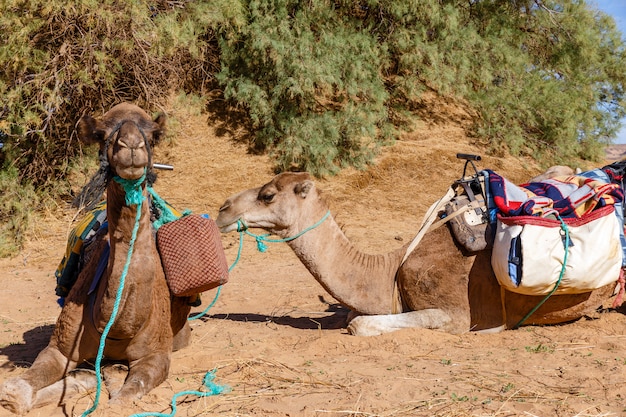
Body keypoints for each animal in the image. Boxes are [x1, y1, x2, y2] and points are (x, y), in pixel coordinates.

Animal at [0, 103, 191, 412]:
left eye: (153, 135)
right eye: (103, 135)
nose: (131, 146)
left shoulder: (156, 356)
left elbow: (121, 402)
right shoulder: (59, 348)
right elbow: (15, 392)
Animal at [217, 171, 616, 336]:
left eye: (268, 195)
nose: (222, 210)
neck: (391, 268)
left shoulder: (458, 314)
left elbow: (358, 323)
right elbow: (353, 315)